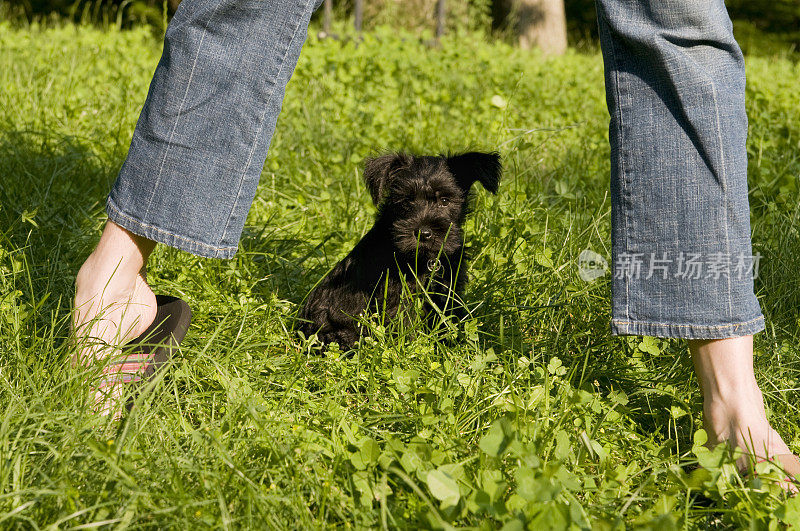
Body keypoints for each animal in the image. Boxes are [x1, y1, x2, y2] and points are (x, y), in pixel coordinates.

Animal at [300, 151, 500, 350]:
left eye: (444, 201)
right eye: (407, 201)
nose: (423, 233)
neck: (424, 259)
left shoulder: (448, 289)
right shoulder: (399, 297)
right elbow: (405, 323)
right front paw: (410, 349)